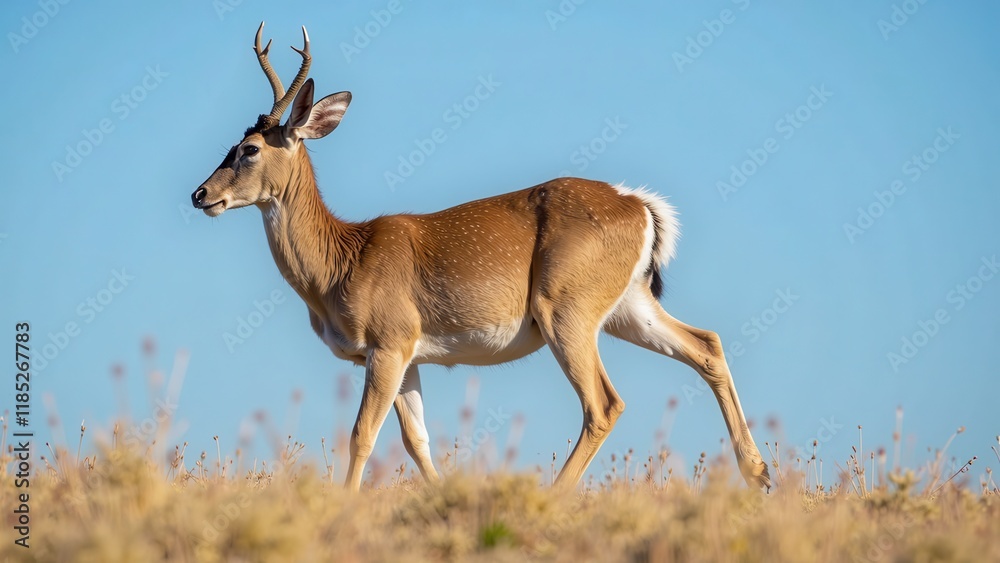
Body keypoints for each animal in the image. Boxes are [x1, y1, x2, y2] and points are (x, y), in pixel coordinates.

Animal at [192, 23, 771, 492]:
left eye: (250, 149)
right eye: (233, 144)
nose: (201, 195)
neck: (341, 262)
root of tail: (641, 205)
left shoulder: (389, 343)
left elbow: (362, 434)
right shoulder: (407, 356)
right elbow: (416, 440)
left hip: (565, 309)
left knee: (604, 404)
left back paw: (556, 496)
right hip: (627, 306)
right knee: (707, 345)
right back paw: (759, 473)